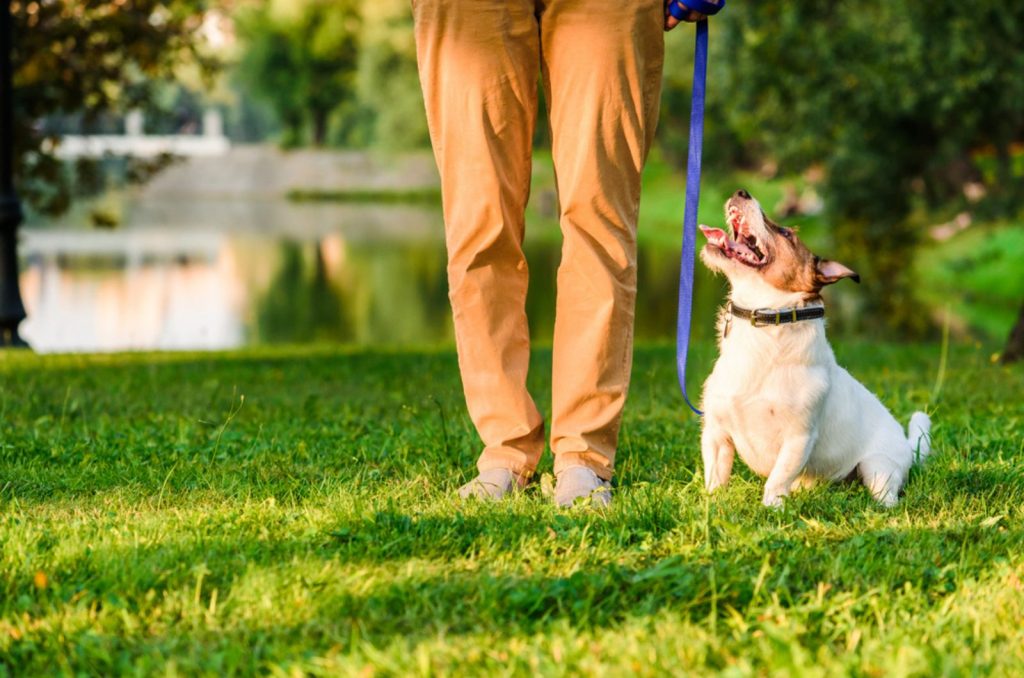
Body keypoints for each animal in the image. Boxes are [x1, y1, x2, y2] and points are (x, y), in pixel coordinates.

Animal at [700, 188, 933, 507]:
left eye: (786, 233)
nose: (742, 192)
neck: (766, 324)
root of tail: (908, 447)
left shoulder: (799, 437)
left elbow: (777, 479)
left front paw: (772, 509)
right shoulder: (715, 432)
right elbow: (716, 477)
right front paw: (712, 505)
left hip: (877, 467)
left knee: (888, 498)